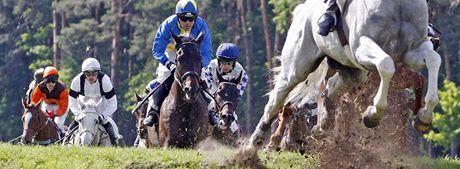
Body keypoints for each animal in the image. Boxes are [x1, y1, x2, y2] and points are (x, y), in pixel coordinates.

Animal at [246, 0, 440, 151]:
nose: (435, 36)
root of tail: (302, 9)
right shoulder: (362, 47)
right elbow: (386, 65)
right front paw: (373, 114)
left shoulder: (413, 50)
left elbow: (434, 60)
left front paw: (424, 117)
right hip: (296, 68)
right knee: (276, 101)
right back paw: (255, 142)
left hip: (353, 71)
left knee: (330, 89)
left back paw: (323, 123)